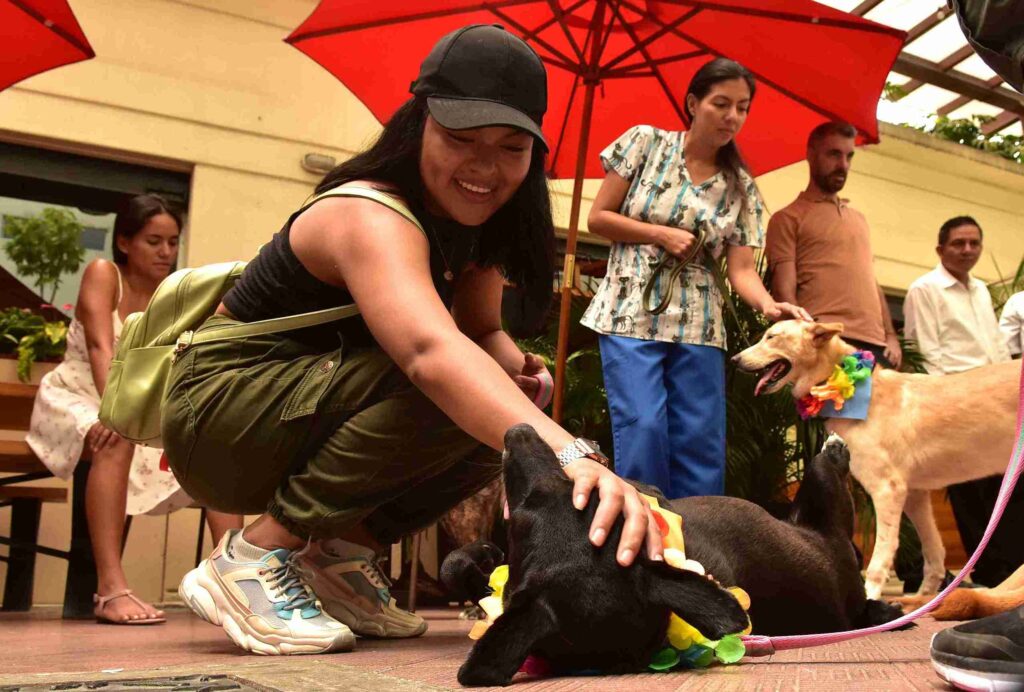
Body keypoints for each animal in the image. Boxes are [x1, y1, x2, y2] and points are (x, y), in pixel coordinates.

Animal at [444, 423, 901, 683]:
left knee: (827, 468)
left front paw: (480, 558)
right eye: (527, 507)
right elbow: (455, 568)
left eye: (582, 493)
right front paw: (477, 564)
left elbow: (457, 567)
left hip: (823, 508)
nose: (517, 431)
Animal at [737, 319, 1015, 601]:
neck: (853, 394)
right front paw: (923, 598)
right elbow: (934, 552)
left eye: (771, 337)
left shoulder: (887, 490)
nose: (735, 359)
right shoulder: (915, 495)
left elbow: (881, 557)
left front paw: (872, 597)